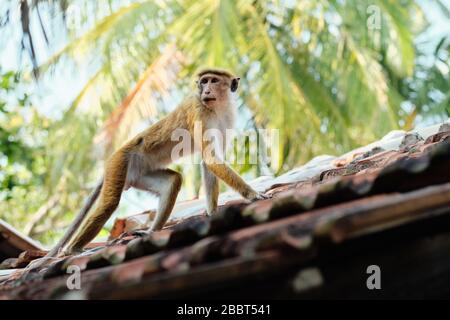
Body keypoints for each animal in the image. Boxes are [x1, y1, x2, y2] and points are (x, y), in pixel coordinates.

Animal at [47, 67, 268, 258]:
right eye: (204, 81)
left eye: (213, 81)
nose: (205, 90)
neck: (217, 107)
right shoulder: (198, 109)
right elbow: (211, 159)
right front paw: (252, 194)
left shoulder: (227, 118)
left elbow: (209, 163)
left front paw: (213, 212)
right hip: (119, 162)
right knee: (109, 204)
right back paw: (71, 250)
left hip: (138, 173)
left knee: (173, 181)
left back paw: (151, 231)